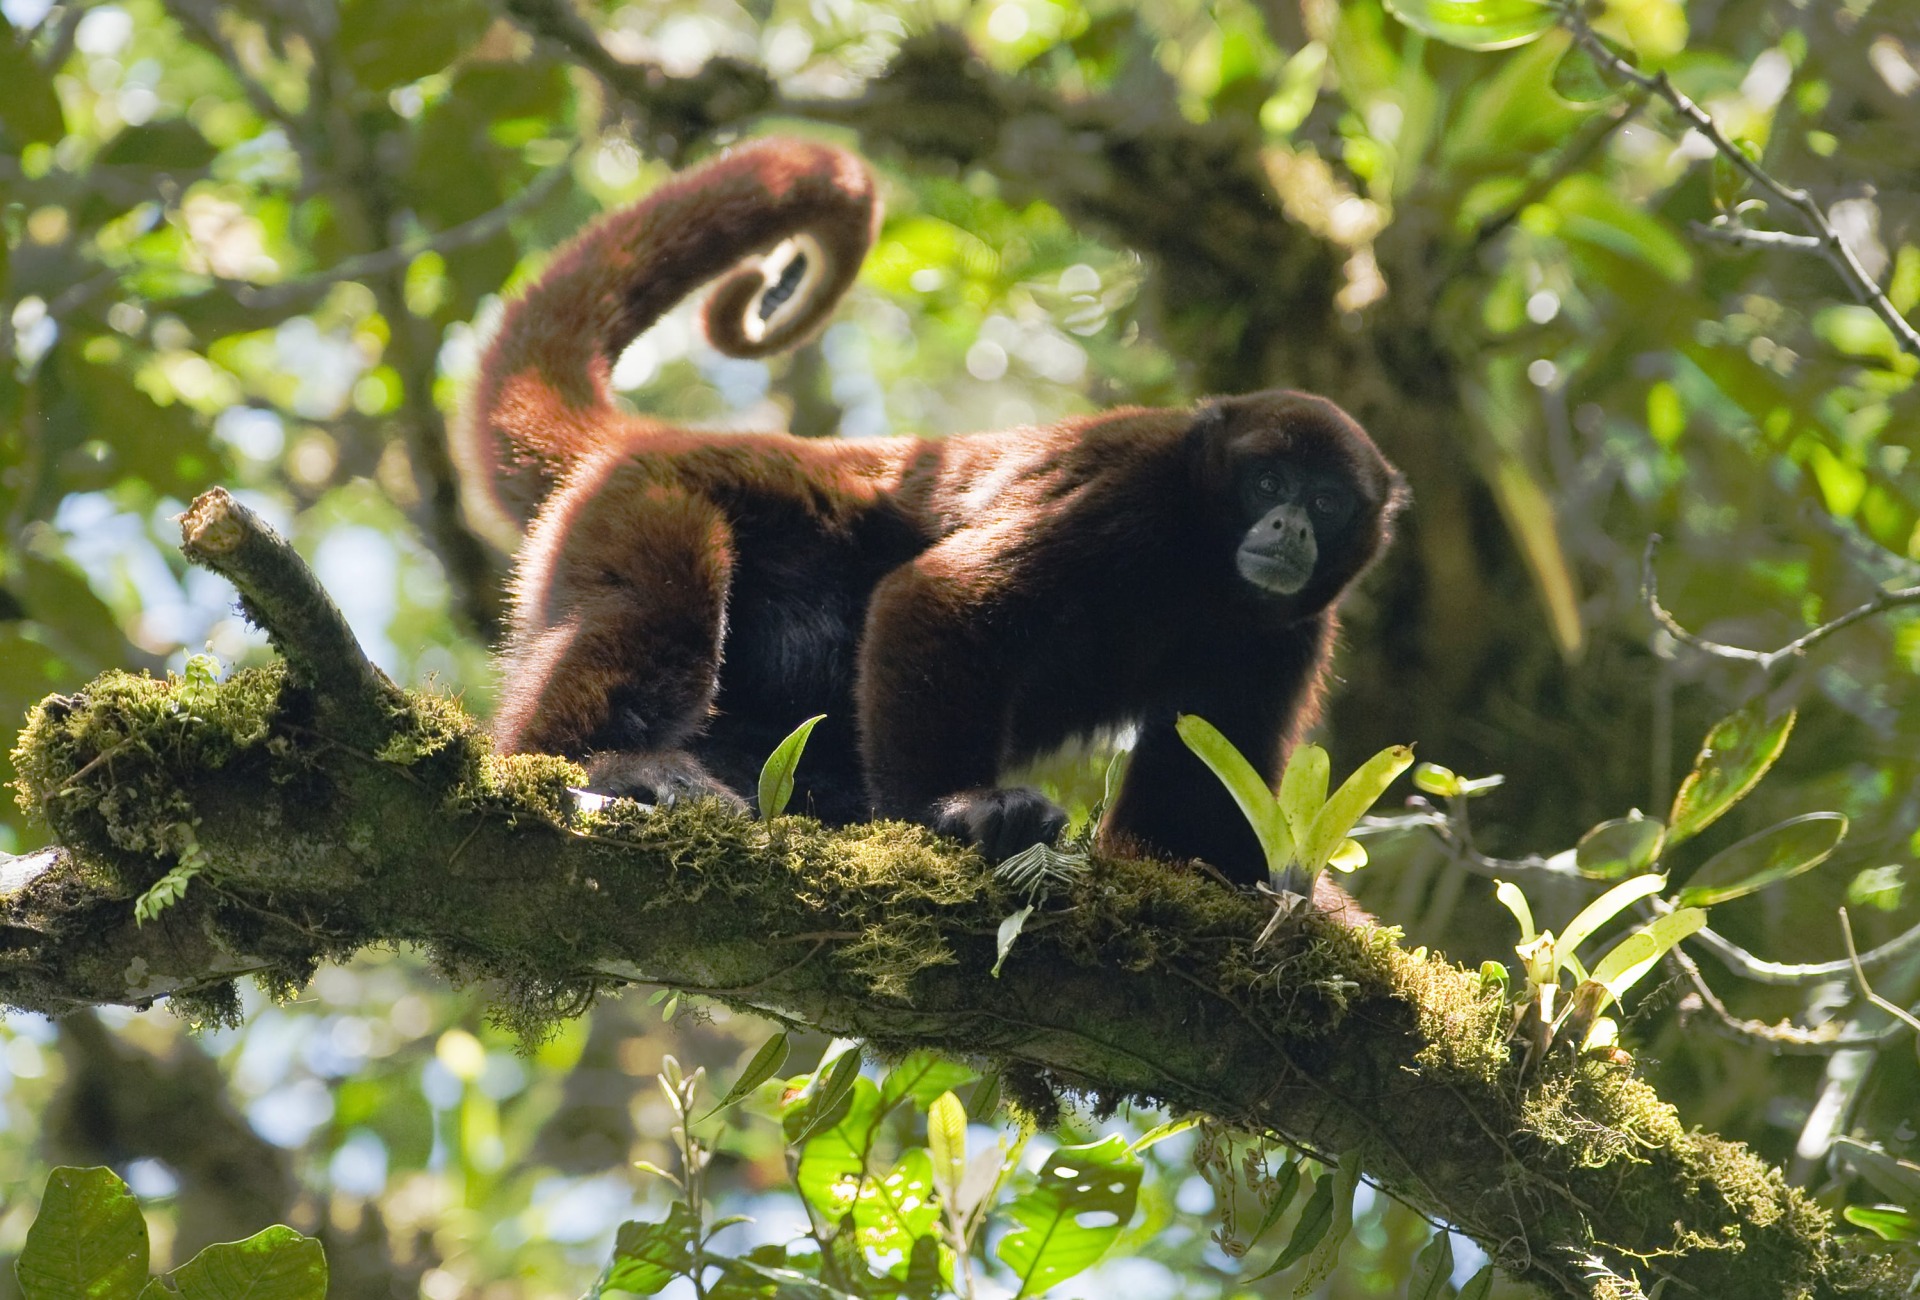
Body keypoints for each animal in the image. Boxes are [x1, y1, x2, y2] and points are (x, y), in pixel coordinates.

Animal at [460, 136, 1405, 886]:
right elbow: (943, 596)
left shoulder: (1288, 634)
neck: (1200, 563)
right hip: (642, 500)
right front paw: (961, 813)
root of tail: (647, 440)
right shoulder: (1128, 493)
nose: (1289, 528)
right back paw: (612, 764)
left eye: (1326, 500)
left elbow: (1190, 813)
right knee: (655, 604)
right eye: (1268, 483)